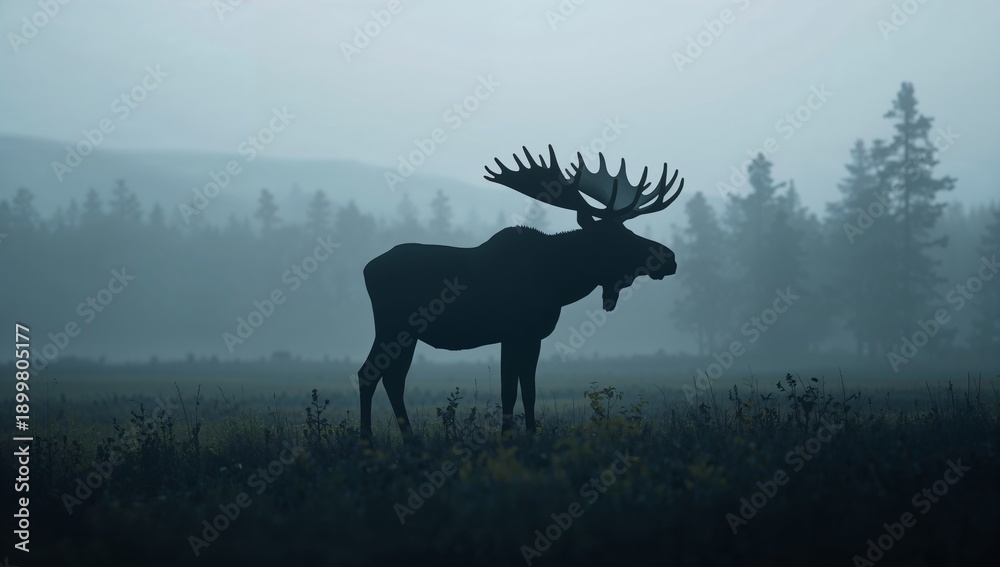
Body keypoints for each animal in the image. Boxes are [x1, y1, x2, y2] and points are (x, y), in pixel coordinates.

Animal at [356, 145, 683, 442]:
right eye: (617, 236)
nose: (669, 257)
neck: (560, 282)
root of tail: (367, 269)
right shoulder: (515, 332)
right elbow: (510, 391)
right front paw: (509, 437)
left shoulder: (530, 336)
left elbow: (527, 390)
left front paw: (528, 434)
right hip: (392, 327)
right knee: (369, 373)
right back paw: (368, 439)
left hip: (406, 334)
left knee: (393, 379)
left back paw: (408, 438)